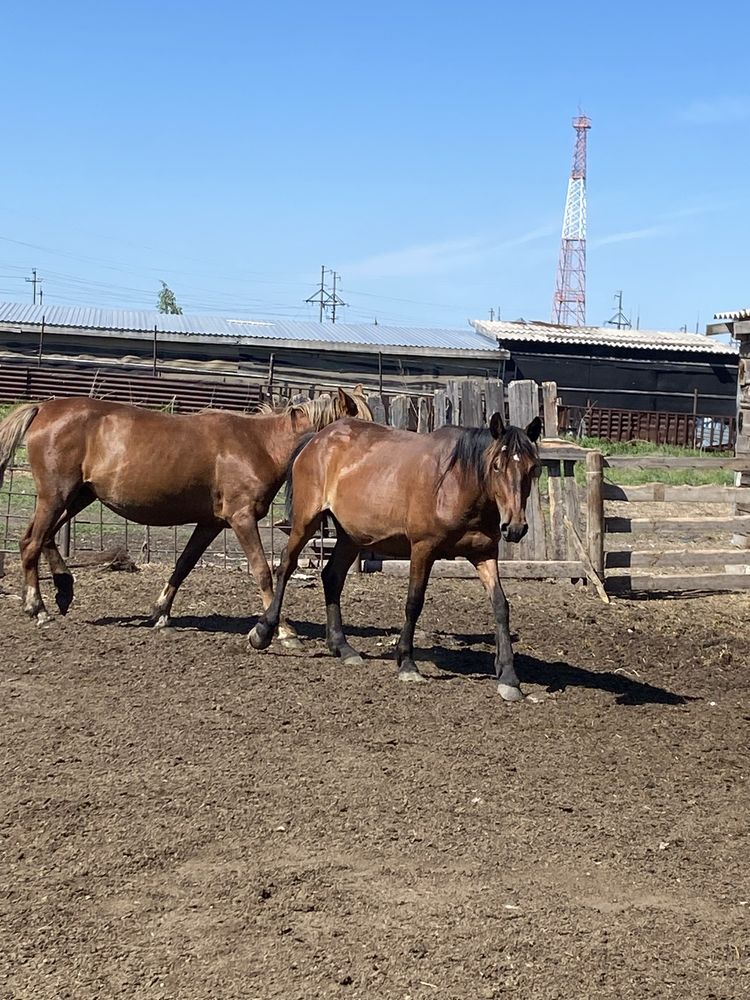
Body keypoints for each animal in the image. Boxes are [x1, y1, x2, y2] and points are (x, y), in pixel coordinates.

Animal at [0, 386, 374, 636]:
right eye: (356, 429)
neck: (260, 445)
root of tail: (43, 408)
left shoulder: (210, 523)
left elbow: (183, 566)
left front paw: (159, 613)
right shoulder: (241, 518)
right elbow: (261, 570)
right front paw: (281, 630)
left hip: (78, 496)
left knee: (40, 538)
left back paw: (63, 590)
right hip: (57, 495)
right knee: (31, 543)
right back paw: (38, 608)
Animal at [251, 410, 540, 700]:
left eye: (531, 468)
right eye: (497, 465)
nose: (515, 528)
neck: (457, 482)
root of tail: (317, 439)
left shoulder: (484, 554)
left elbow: (500, 605)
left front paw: (508, 677)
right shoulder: (423, 548)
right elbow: (414, 603)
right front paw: (407, 664)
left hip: (351, 536)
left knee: (332, 577)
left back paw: (342, 647)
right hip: (306, 520)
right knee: (286, 565)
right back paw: (264, 632)